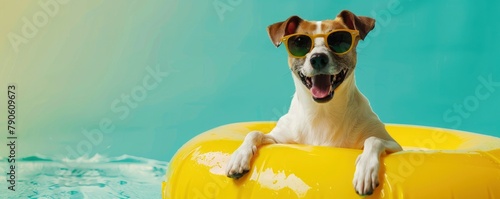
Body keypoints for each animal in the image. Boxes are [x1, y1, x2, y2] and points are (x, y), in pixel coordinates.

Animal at [226, 9, 402, 196]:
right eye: (299, 42)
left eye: (339, 39)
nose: (318, 58)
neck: (322, 111)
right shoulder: (279, 138)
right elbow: (255, 133)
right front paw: (239, 156)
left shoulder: (394, 145)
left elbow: (374, 139)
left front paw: (366, 168)